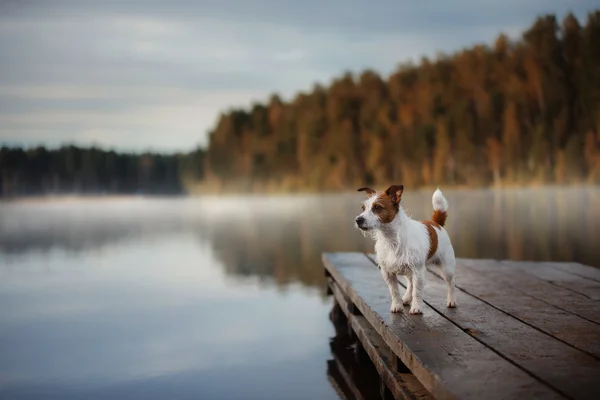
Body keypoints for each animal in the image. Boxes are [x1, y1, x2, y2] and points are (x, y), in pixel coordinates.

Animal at [354, 185, 458, 316]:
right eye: (363, 208)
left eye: (377, 207)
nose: (358, 220)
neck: (392, 238)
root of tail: (436, 223)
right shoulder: (388, 273)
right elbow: (394, 291)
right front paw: (397, 305)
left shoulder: (418, 271)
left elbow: (417, 292)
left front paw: (416, 307)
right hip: (408, 271)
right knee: (410, 284)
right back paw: (407, 298)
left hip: (447, 268)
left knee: (451, 283)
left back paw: (452, 300)